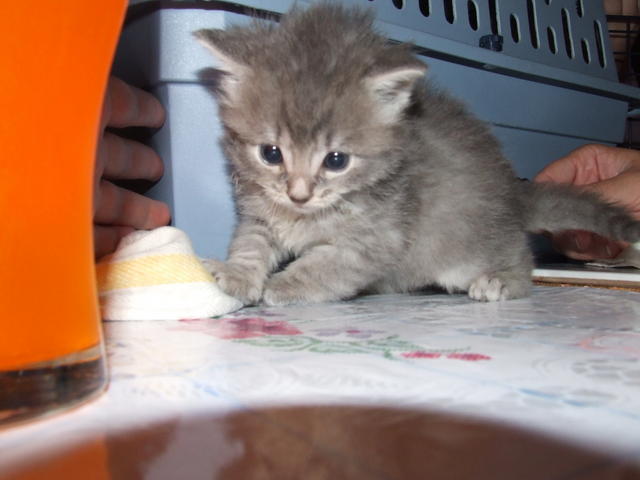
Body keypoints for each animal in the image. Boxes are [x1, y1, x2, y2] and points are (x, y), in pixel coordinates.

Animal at [196, 2, 640, 305]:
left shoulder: (378, 240)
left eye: (336, 160)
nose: (298, 195)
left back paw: (501, 281)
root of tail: (513, 193)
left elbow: (324, 266)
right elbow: (251, 243)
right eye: (271, 153)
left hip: (469, 247)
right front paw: (237, 275)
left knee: (522, 258)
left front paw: (283, 285)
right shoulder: (260, 212)